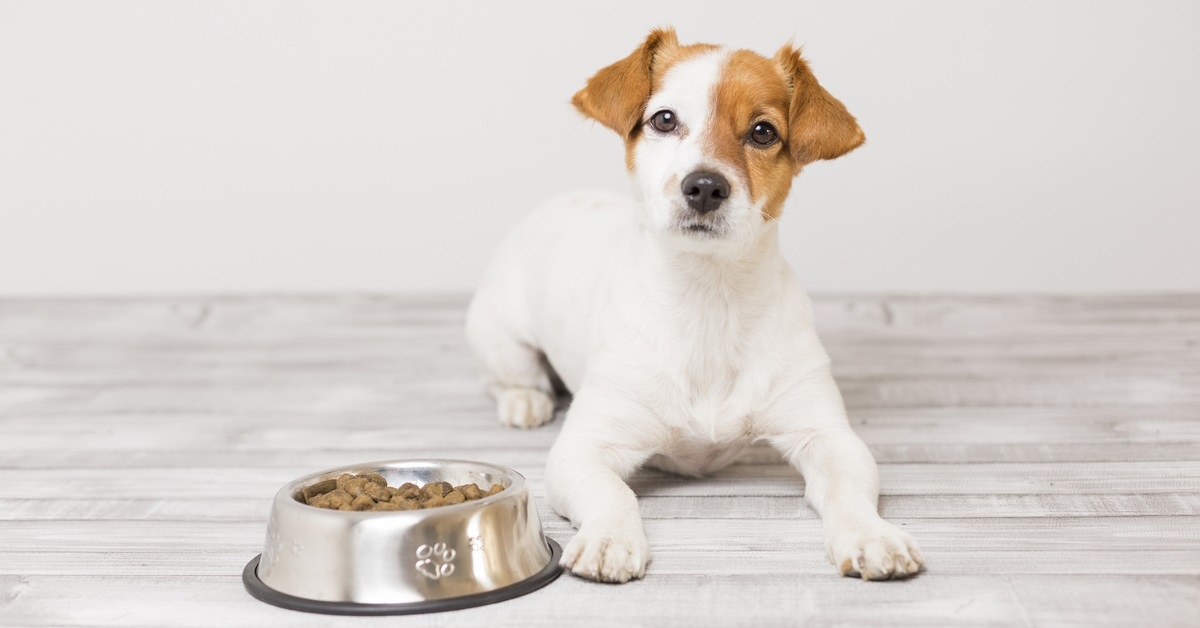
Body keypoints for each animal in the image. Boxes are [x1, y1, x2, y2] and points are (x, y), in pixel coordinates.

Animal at [463, 27, 921, 583]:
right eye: (664, 119)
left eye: (763, 132)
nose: (704, 186)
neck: (708, 298)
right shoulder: (584, 448)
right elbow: (612, 492)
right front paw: (610, 538)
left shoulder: (828, 435)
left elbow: (848, 489)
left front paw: (871, 535)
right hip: (500, 338)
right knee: (508, 377)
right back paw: (524, 400)